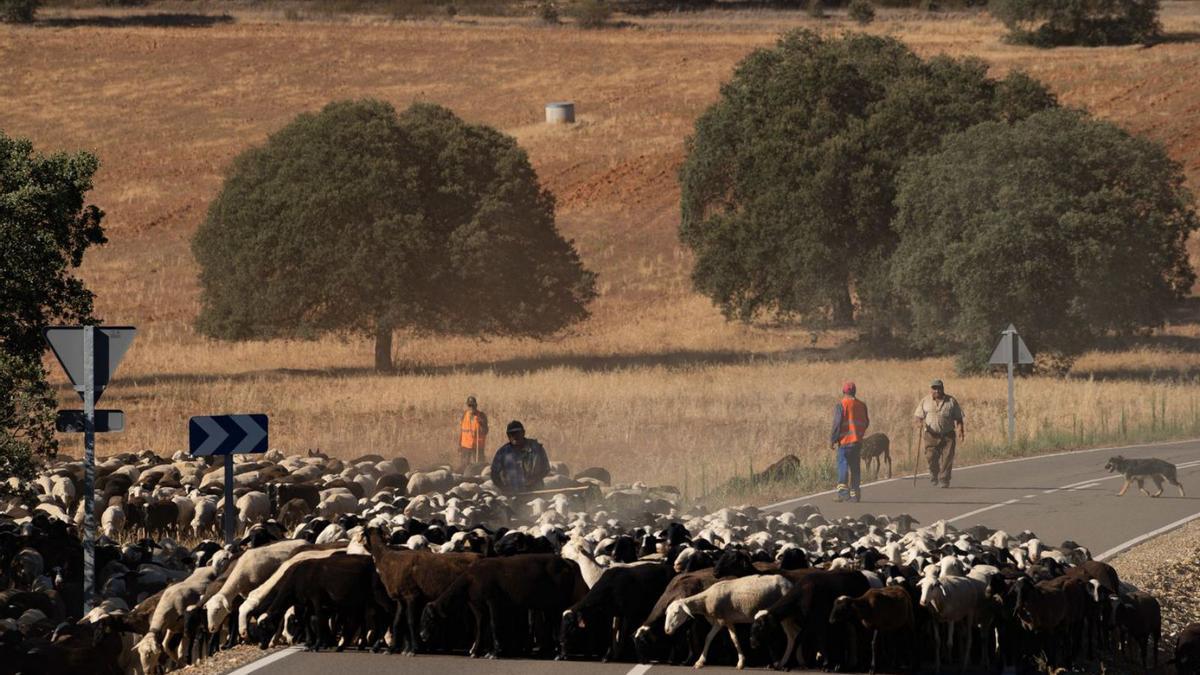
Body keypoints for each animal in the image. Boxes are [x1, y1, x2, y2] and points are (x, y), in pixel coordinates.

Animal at [662, 571, 792, 667]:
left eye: (676, 613)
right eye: (667, 613)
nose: (667, 630)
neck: (705, 601)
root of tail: (789, 583)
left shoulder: (723, 620)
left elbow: (722, 638)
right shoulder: (723, 621)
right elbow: (722, 638)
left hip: (785, 614)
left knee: (790, 635)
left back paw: (782, 662)